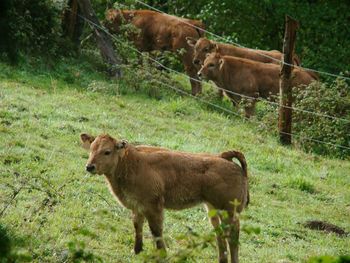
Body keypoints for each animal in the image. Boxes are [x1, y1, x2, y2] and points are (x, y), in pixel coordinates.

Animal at [80, 134, 249, 263]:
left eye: (107, 151)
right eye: (91, 149)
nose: (89, 166)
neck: (131, 162)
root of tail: (223, 157)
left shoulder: (154, 207)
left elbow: (156, 231)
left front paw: (161, 255)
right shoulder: (137, 206)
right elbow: (138, 226)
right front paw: (137, 251)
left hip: (230, 212)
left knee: (233, 236)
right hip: (213, 210)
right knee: (220, 234)